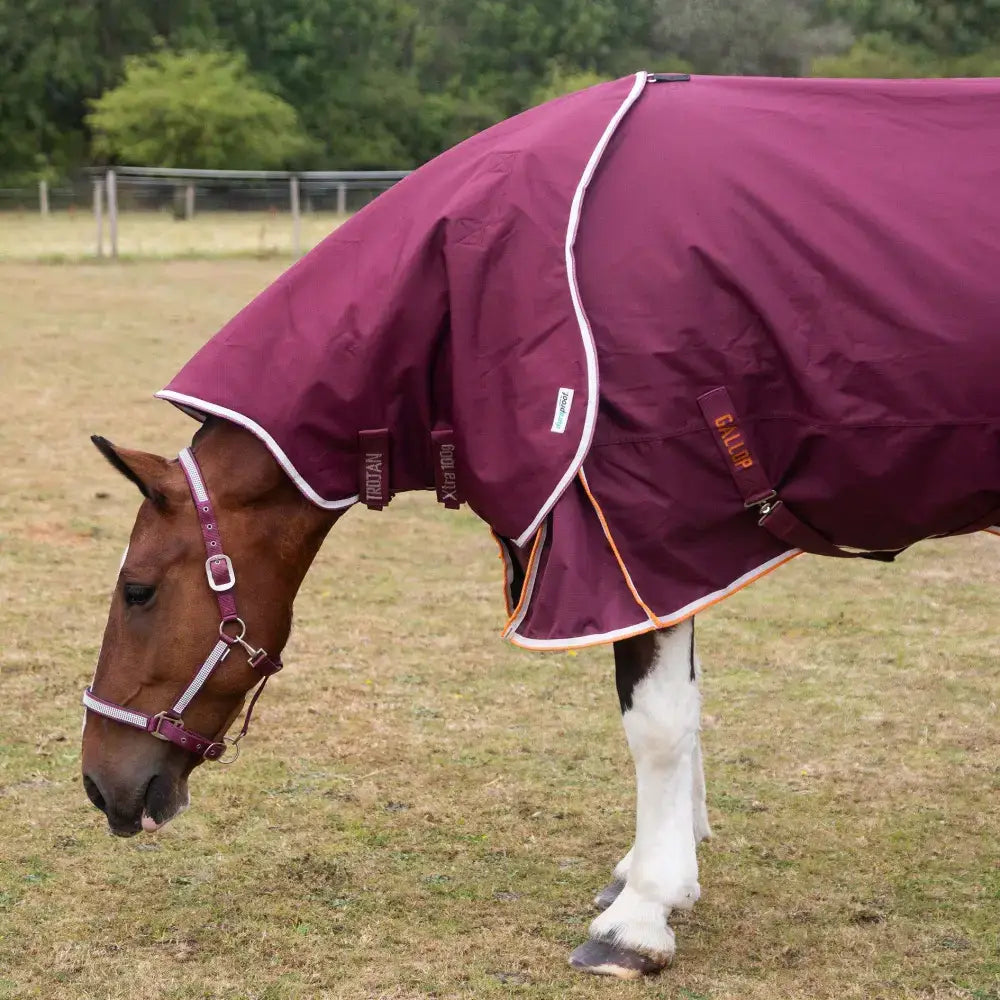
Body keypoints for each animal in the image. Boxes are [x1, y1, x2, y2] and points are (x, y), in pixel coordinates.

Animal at [81, 72, 1000, 980]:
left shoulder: (635, 536)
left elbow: (657, 725)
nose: (99, 786)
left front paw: (640, 918)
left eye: (138, 591)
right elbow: (686, 708)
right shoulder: (675, 558)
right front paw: (659, 873)